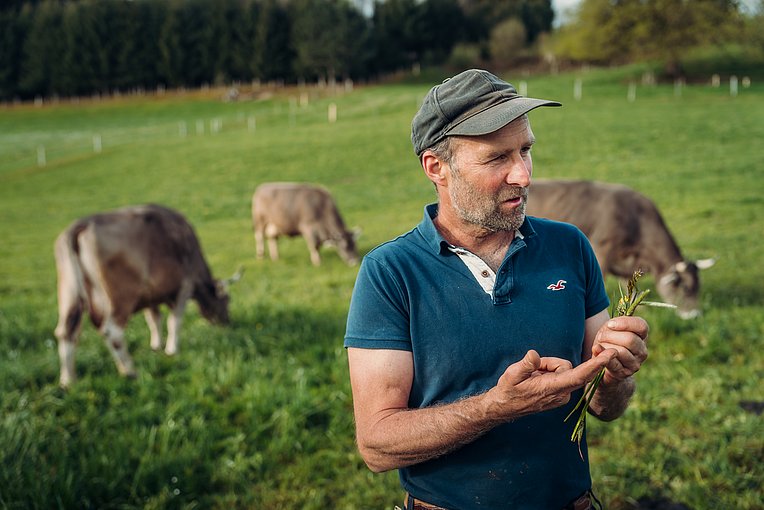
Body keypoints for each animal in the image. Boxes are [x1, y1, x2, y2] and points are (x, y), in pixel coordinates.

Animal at [53, 203, 236, 386]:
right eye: (227, 301)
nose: (227, 323)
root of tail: (83, 223)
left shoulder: (150, 297)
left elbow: (154, 320)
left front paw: (156, 346)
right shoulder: (184, 288)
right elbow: (174, 322)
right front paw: (171, 350)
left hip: (69, 293)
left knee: (66, 333)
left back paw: (68, 381)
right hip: (121, 298)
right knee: (112, 332)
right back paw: (129, 371)